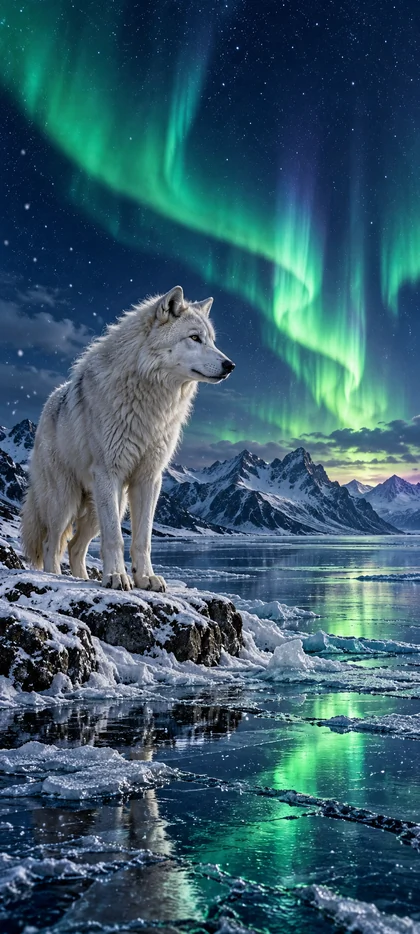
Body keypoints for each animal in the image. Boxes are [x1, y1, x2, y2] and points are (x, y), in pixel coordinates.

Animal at [21, 286, 235, 592]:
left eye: (213, 341)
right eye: (195, 338)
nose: (230, 365)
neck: (151, 401)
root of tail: (49, 401)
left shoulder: (149, 478)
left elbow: (142, 539)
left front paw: (146, 578)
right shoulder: (108, 473)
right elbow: (114, 538)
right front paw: (116, 577)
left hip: (105, 506)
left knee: (75, 546)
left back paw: (82, 579)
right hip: (66, 500)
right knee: (53, 544)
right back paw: (57, 577)